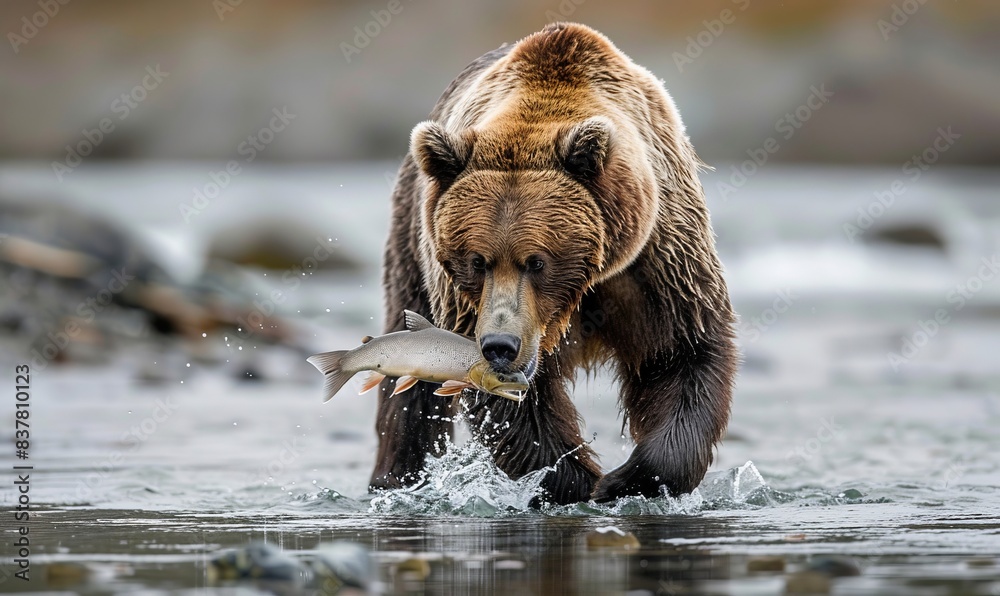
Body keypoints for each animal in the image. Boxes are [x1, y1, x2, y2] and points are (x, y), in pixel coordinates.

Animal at [370, 22, 737, 505]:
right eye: (477, 261)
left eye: (537, 261)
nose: (500, 345)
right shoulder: (466, 304)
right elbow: (509, 403)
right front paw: (574, 479)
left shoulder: (657, 258)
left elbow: (679, 352)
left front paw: (627, 480)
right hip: (412, 245)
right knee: (410, 385)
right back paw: (395, 478)